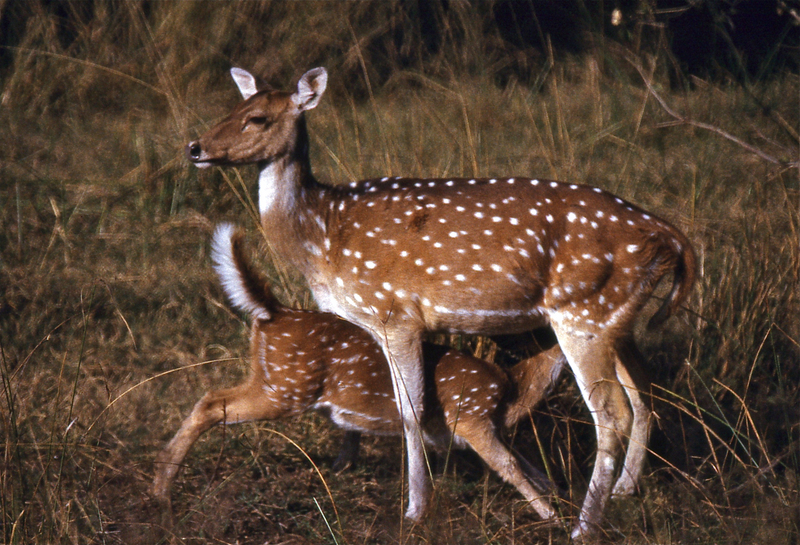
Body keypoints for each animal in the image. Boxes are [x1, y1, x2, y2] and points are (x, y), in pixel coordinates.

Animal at [153, 225, 564, 520]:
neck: (512, 388)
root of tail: (274, 313)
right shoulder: (472, 415)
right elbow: (510, 465)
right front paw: (550, 515)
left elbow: (531, 464)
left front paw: (556, 493)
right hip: (285, 387)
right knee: (210, 402)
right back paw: (162, 488)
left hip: (274, 380)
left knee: (211, 400)